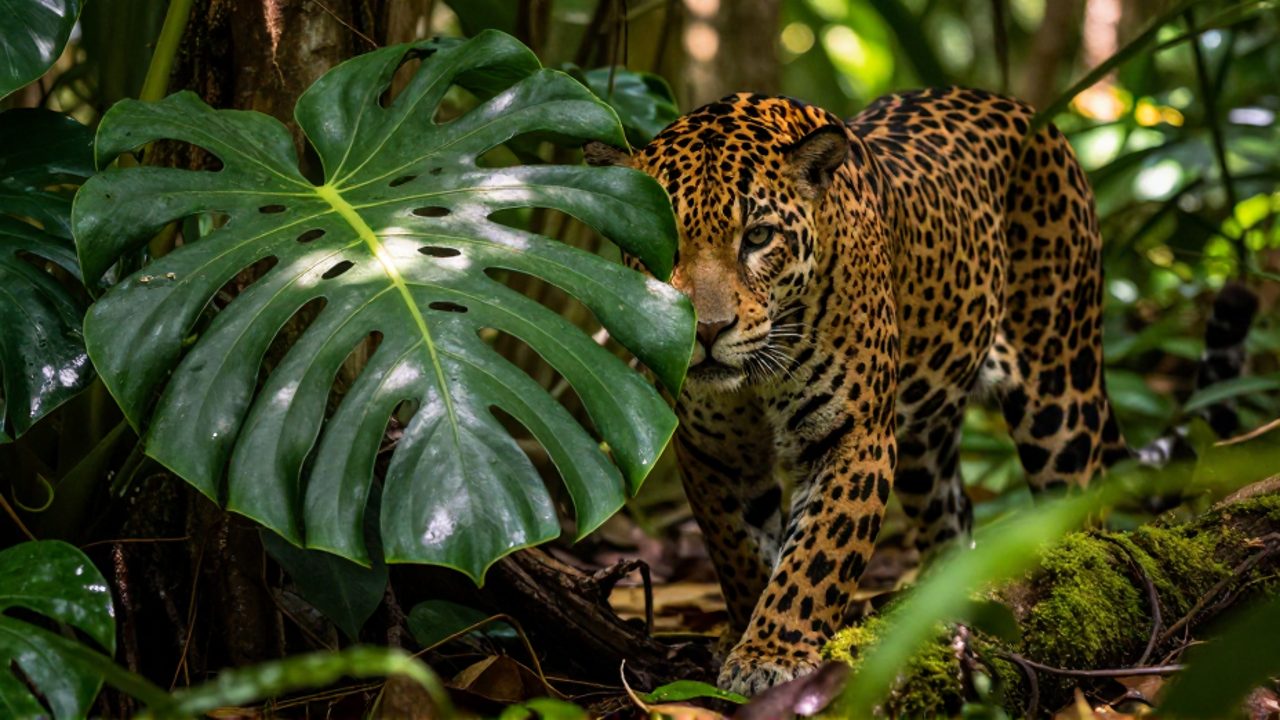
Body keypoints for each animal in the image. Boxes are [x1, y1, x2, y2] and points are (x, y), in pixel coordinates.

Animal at [583, 86, 1179, 695]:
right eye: (662, 236)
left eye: (758, 237)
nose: (705, 331)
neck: (755, 377)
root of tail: (1025, 110)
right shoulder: (712, 452)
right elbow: (738, 549)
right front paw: (742, 629)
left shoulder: (855, 438)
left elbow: (815, 559)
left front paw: (771, 653)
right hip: (925, 439)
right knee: (951, 512)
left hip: (1059, 387)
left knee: (1080, 499)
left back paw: (1079, 584)